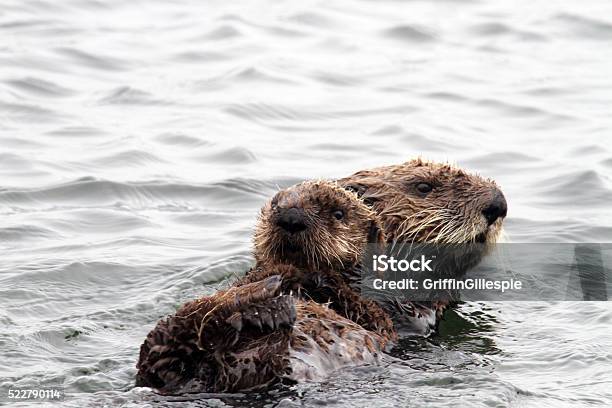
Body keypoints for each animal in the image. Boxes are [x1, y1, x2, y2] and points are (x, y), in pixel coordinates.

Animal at [136, 180, 396, 394]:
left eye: (338, 214)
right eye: (274, 204)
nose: (291, 217)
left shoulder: (378, 316)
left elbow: (363, 307)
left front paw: (311, 273)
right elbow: (256, 274)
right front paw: (279, 272)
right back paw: (263, 306)